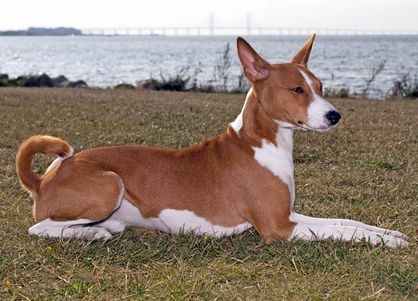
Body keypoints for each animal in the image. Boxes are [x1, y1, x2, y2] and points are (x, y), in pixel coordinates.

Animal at [16, 34, 408, 247]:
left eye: (320, 87)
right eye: (297, 89)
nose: (334, 116)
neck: (262, 144)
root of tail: (43, 178)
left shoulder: (289, 213)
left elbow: (348, 223)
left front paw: (388, 233)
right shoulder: (279, 226)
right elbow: (343, 232)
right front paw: (384, 241)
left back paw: (102, 229)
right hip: (110, 183)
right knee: (38, 227)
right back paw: (92, 235)